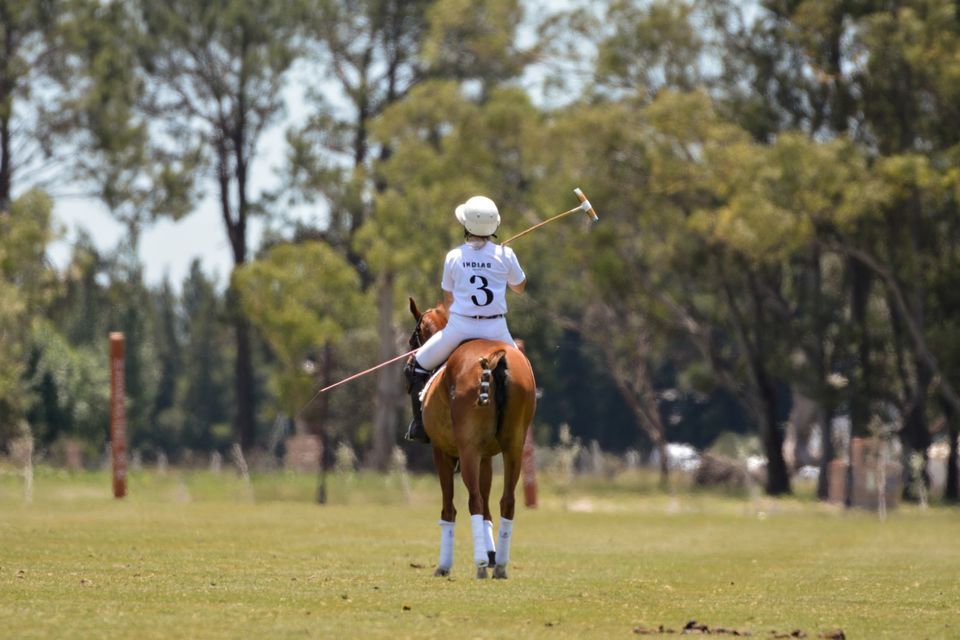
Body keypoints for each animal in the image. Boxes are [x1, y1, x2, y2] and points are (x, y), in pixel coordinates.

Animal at [408, 298, 536, 576]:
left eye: (414, 337)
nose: (412, 352)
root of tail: (497, 357)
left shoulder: (442, 451)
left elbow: (449, 506)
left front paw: (445, 566)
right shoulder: (485, 456)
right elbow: (488, 507)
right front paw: (491, 554)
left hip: (467, 451)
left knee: (474, 501)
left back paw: (479, 565)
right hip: (514, 446)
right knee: (506, 501)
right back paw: (500, 566)